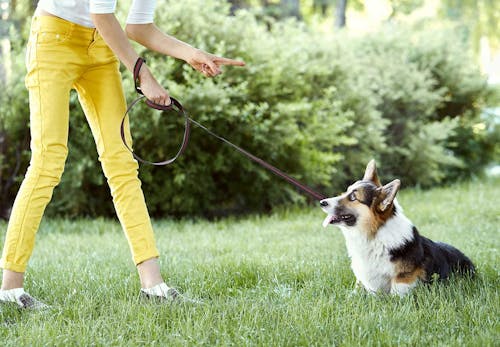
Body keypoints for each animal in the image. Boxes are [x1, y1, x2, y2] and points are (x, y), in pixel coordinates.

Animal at [318, 160, 474, 296]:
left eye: (353, 197)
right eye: (346, 191)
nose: (322, 202)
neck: (374, 236)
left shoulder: (403, 280)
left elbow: (395, 295)